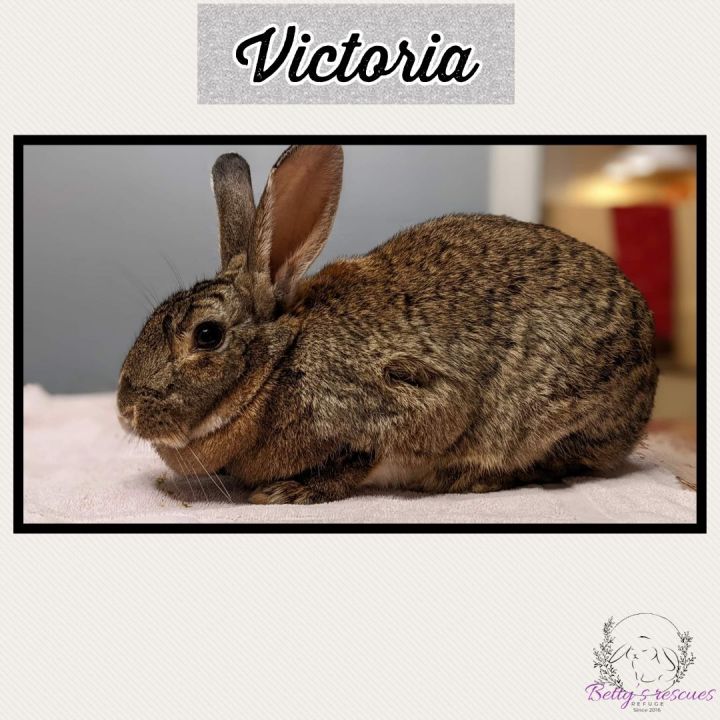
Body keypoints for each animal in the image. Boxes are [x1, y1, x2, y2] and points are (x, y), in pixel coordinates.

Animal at [117, 144, 658, 504]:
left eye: (207, 335)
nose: (125, 411)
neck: (277, 365)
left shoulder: (400, 400)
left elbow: (360, 458)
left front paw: (286, 492)